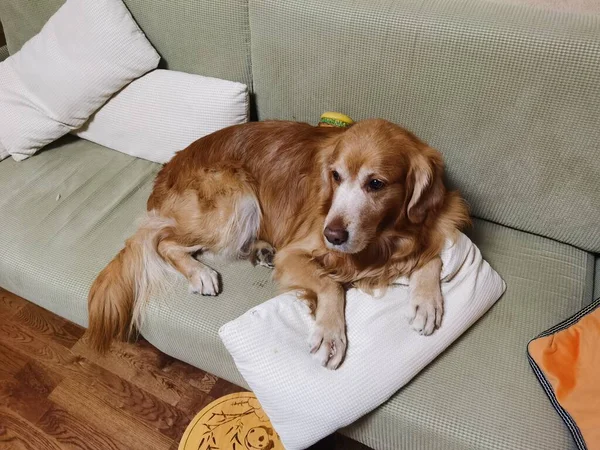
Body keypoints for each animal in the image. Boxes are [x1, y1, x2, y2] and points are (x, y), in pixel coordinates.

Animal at [86, 119, 468, 370]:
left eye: (376, 183)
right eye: (335, 176)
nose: (333, 236)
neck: (385, 236)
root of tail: (164, 172)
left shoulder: (432, 223)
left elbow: (432, 254)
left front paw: (426, 300)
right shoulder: (297, 250)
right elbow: (330, 284)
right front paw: (331, 334)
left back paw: (259, 249)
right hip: (235, 198)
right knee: (163, 240)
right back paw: (200, 272)